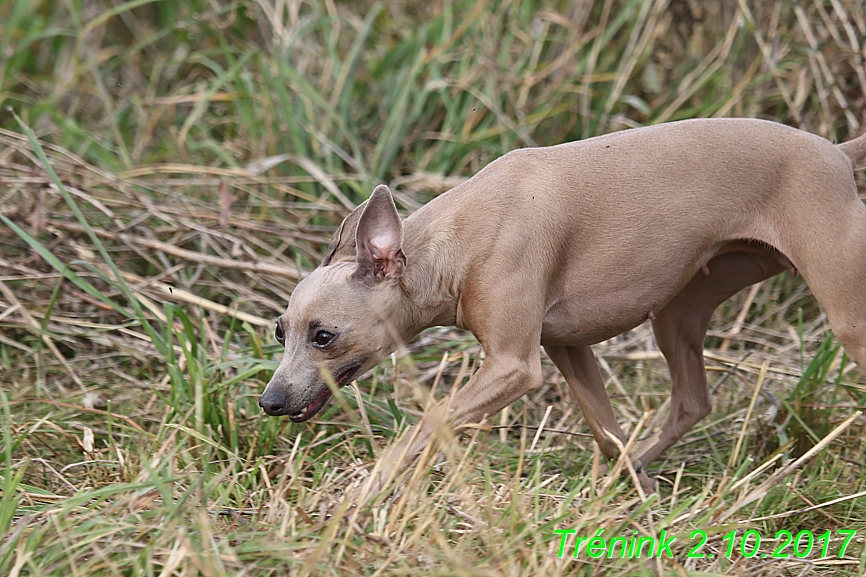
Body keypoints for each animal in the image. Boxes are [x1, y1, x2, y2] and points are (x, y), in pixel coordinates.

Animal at [258, 117, 864, 496]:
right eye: (279, 331)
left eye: (323, 335)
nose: (270, 402)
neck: (459, 240)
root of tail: (835, 152)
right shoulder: (568, 347)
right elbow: (607, 431)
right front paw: (636, 495)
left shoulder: (513, 366)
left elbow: (426, 423)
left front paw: (362, 495)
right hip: (679, 315)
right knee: (692, 401)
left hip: (847, 319)